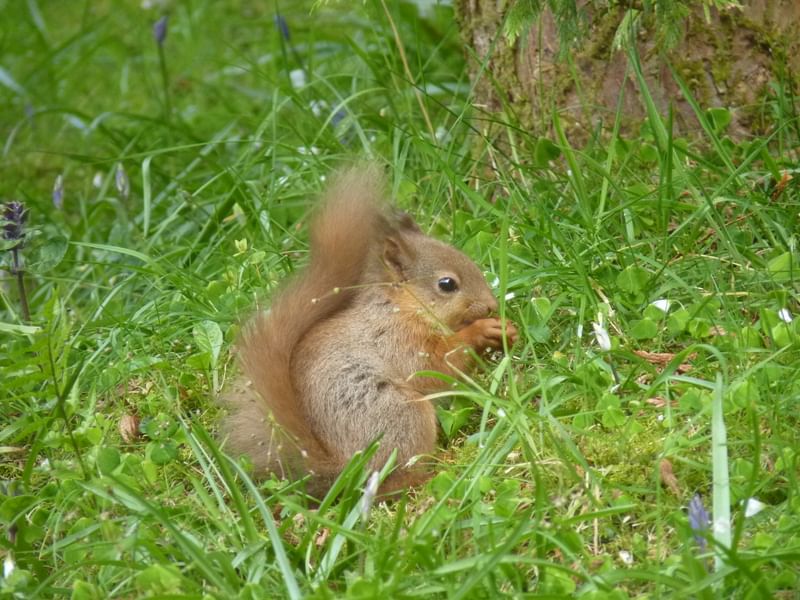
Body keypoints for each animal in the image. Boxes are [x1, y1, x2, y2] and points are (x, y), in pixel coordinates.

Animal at [221, 166, 517, 497]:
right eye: (446, 284)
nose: (491, 305)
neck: (402, 306)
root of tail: (345, 470)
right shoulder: (396, 338)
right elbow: (434, 366)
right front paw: (481, 330)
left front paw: (507, 332)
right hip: (402, 416)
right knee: (394, 481)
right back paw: (432, 476)